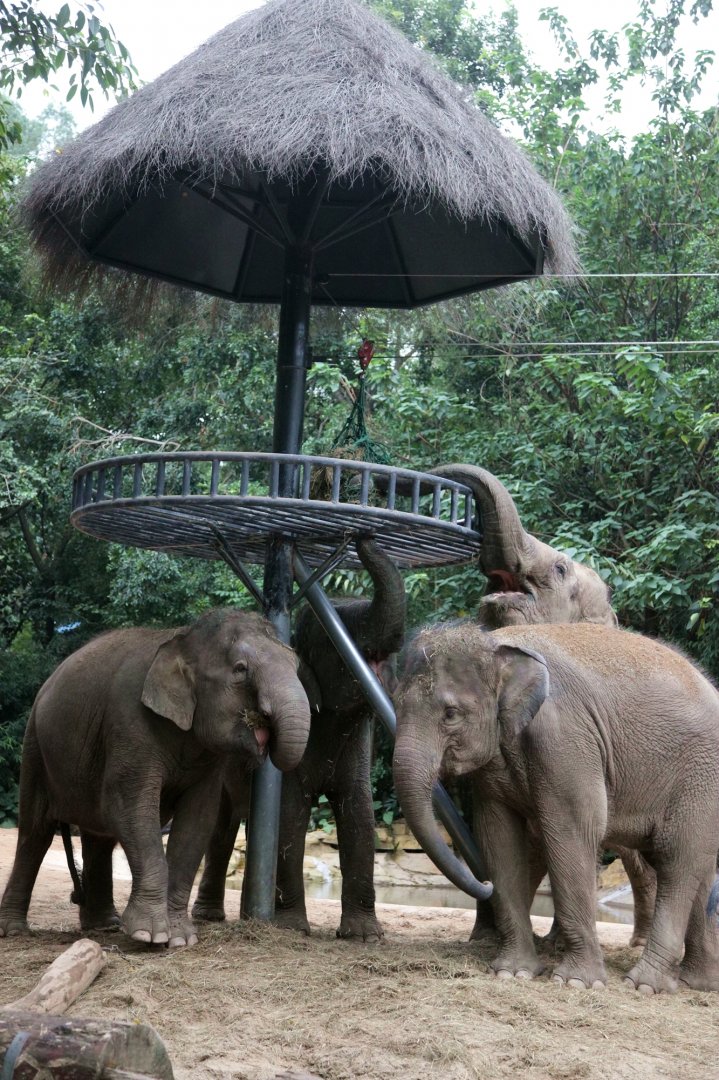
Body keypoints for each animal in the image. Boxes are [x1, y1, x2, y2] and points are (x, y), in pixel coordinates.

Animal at [0, 608, 311, 948]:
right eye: (240, 669)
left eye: (296, 665)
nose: (264, 723)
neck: (181, 638)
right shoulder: (131, 724)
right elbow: (131, 809)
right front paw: (149, 935)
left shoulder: (208, 758)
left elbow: (197, 821)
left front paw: (179, 939)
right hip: (34, 746)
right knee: (35, 832)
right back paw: (15, 930)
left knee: (99, 837)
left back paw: (103, 926)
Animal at [192, 536, 406, 941]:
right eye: (336, 640)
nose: (364, 536)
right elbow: (290, 813)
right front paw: (292, 928)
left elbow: (360, 814)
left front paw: (364, 937)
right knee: (222, 829)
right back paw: (211, 917)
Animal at [392, 620, 719, 992]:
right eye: (395, 704)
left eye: (450, 714)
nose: (484, 885)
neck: (494, 644)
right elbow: (498, 837)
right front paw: (512, 973)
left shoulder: (565, 740)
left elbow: (573, 830)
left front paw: (576, 983)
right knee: (697, 867)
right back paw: (699, 983)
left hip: (701, 778)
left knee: (677, 858)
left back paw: (644, 985)